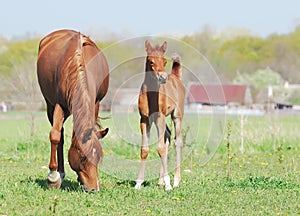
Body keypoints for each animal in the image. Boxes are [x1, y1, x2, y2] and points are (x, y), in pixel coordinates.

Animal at [36, 29, 109, 192]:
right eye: (83, 157)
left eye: (98, 157)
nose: (94, 188)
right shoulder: (58, 104)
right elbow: (55, 136)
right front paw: (53, 178)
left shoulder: (96, 103)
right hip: (50, 105)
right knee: (60, 134)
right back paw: (59, 173)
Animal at [135, 39, 185, 190]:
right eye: (150, 61)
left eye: (164, 61)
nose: (163, 78)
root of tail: (176, 76)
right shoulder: (144, 119)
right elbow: (145, 149)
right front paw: (138, 182)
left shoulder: (160, 117)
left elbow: (160, 148)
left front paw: (168, 184)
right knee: (167, 136)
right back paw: (160, 180)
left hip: (177, 116)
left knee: (177, 142)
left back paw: (176, 181)